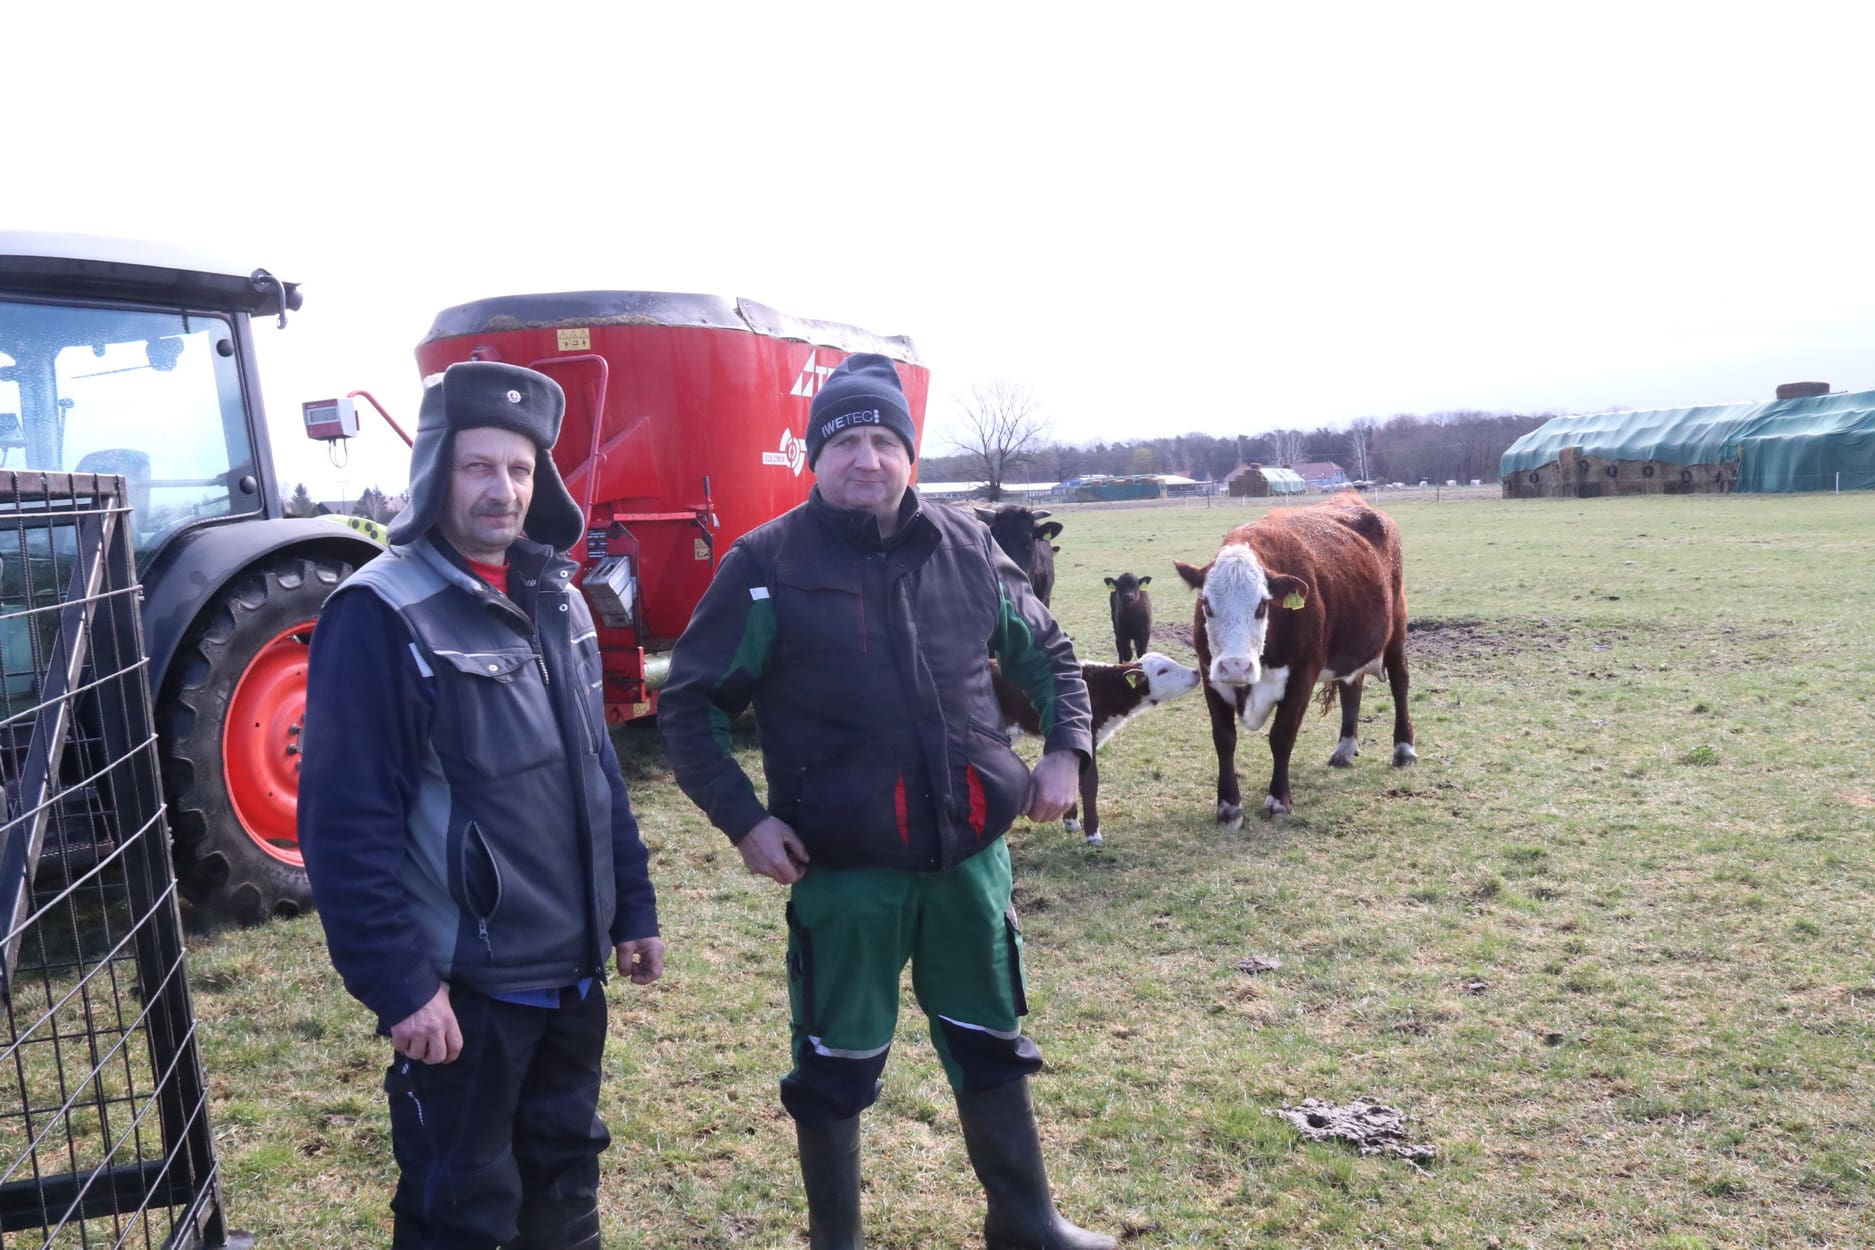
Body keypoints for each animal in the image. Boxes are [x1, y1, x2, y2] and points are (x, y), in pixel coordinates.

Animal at [997, 652, 1200, 847]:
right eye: (1163, 671)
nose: (1197, 672)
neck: (1103, 689)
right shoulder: (1087, 736)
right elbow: (1090, 783)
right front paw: (1093, 834)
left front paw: (1071, 823)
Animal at [1170, 494, 1417, 824]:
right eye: (1207, 604)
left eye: (1263, 605)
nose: (1236, 666)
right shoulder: (1211, 674)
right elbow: (1224, 739)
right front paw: (1228, 805)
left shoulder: (1302, 675)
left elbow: (1282, 736)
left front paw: (1279, 800)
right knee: (1352, 688)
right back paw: (1344, 749)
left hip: (1397, 627)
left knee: (1400, 683)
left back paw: (1404, 749)